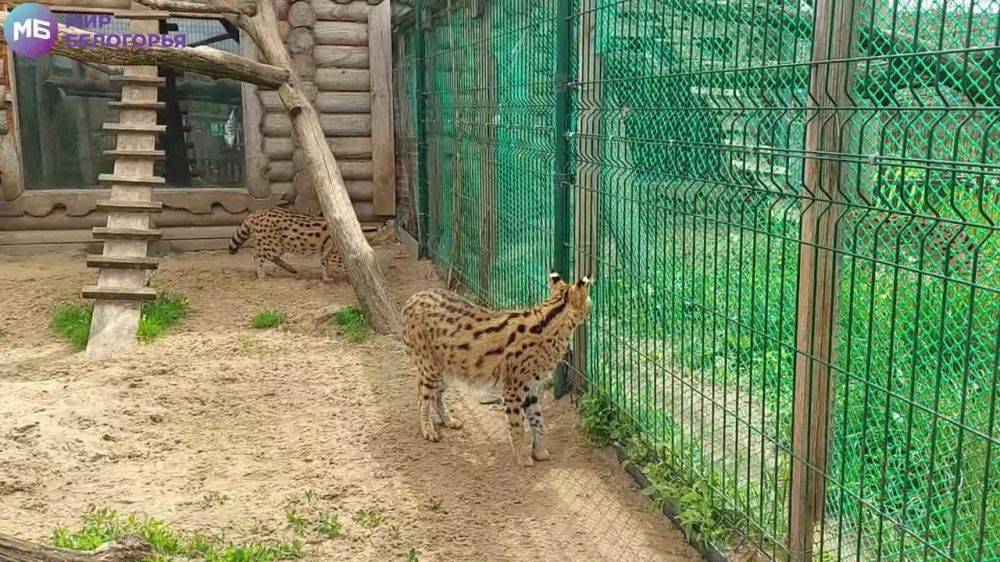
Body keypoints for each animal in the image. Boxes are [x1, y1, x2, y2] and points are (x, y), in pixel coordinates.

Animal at [229, 207, 396, 278]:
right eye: (394, 238)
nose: (400, 242)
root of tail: (254, 213)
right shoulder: (337, 255)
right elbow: (345, 267)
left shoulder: (326, 252)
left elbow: (324, 265)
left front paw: (326, 279)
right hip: (272, 244)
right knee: (257, 257)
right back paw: (262, 275)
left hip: (277, 245)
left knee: (271, 258)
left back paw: (291, 269)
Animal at [402, 272, 592, 464]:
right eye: (589, 299)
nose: (591, 307)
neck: (551, 321)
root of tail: (412, 298)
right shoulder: (512, 388)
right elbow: (517, 425)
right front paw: (522, 457)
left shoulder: (532, 388)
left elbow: (537, 420)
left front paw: (539, 451)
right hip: (430, 367)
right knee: (422, 398)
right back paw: (428, 430)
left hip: (447, 368)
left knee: (435, 396)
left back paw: (448, 420)